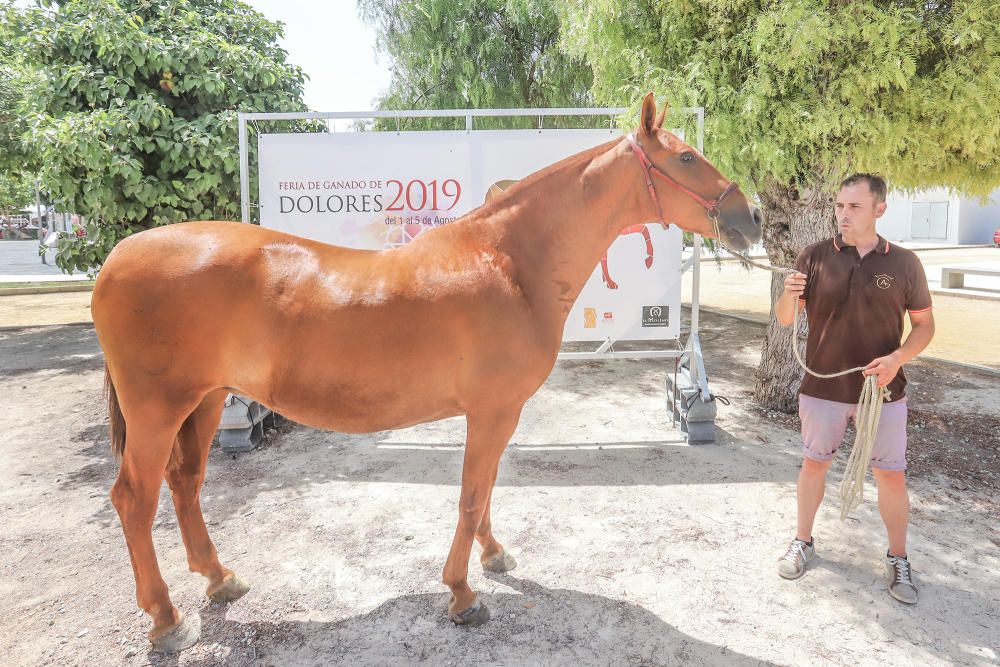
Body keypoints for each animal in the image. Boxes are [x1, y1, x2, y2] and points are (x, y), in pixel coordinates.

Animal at [94, 95, 760, 652]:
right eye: (685, 156)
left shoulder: (495, 412)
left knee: (185, 483)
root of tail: (116, 259)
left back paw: (219, 578)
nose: (749, 215)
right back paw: (166, 619)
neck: (510, 263)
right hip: (159, 409)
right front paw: (463, 595)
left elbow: (486, 487)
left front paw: (493, 557)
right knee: (135, 498)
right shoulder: (492, 411)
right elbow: (470, 494)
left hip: (205, 401)